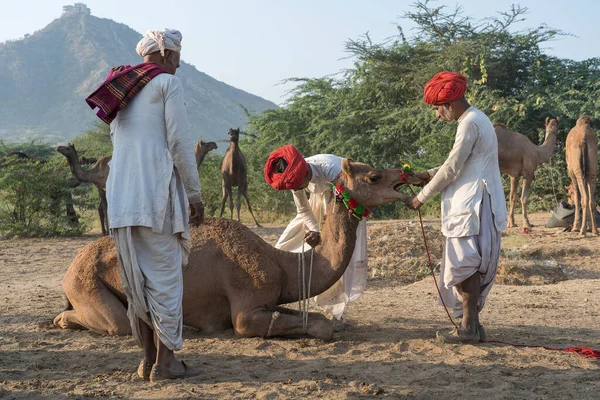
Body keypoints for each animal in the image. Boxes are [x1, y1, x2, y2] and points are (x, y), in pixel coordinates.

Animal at [54, 161, 424, 340]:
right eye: (374, 176)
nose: (412, 175)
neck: (281, 263)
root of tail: (71, 266)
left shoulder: (270, 300)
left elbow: (319, 319)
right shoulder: (246, 310)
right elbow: (320, 327)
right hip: (86, 284)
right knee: (112, 322)